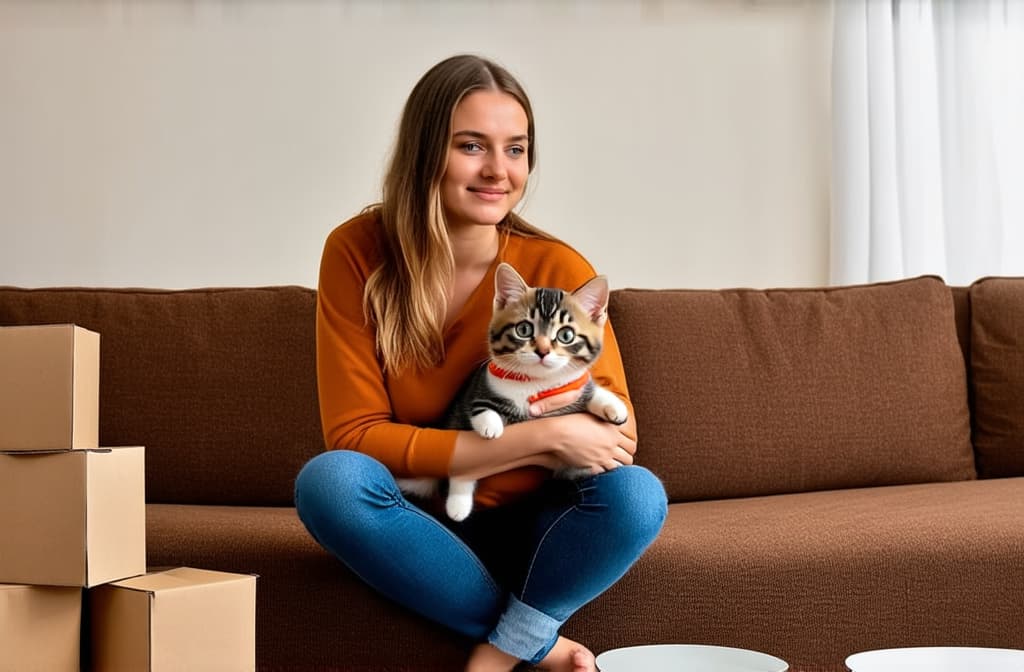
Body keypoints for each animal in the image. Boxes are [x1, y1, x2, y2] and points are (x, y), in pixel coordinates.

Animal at [395, 261, 626, 520]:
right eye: (524, 329)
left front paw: (615, 407)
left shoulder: (574, 384)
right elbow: (481, 406)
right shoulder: (477, 387)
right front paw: (490, 425)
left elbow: (589, 389)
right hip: (456, 423)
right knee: (461, 472)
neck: (537, 382)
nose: (543, 351)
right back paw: (458, 506)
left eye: (566, 335)